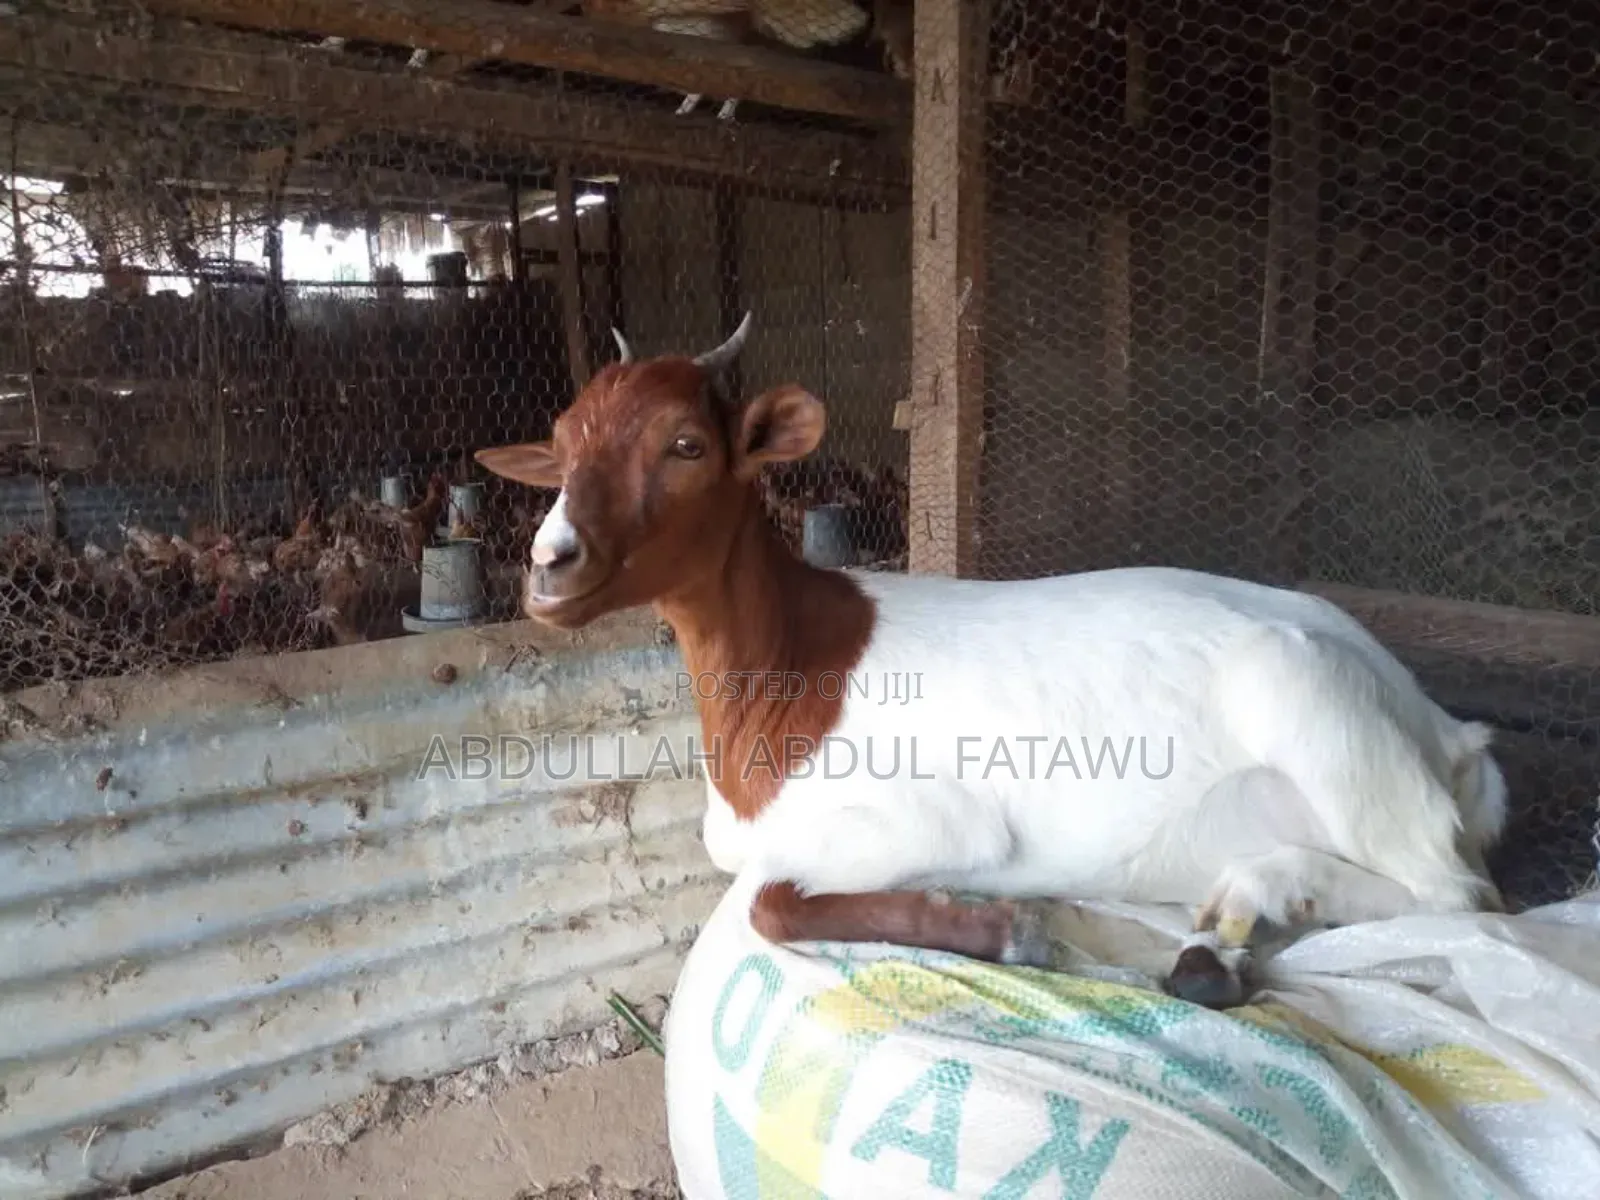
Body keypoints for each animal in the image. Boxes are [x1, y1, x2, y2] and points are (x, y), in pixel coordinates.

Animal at [474, 315, 1509, 1006]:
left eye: (686, 444)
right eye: (561, 445)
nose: (549, 564)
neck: (796, 667)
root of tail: (1446, 728)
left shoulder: (937, 819)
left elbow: (765, 900)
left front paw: (1003, 929)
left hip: (1321, 717)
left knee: (1461, 898)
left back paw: (1259, 895)